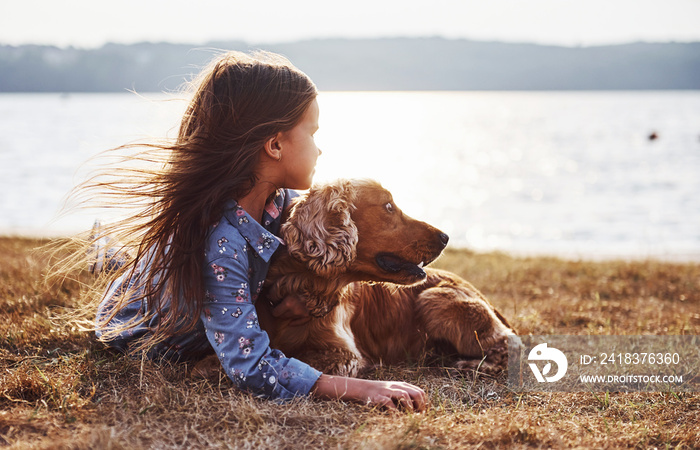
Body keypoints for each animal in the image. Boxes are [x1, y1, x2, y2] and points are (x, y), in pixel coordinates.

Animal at [254, 178, 516, 376]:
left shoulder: (344, 355)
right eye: (388, 206)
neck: (303, 285)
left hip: (435, 300)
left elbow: (300, 361)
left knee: (506, 346)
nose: (445, 237)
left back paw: (471, 365)